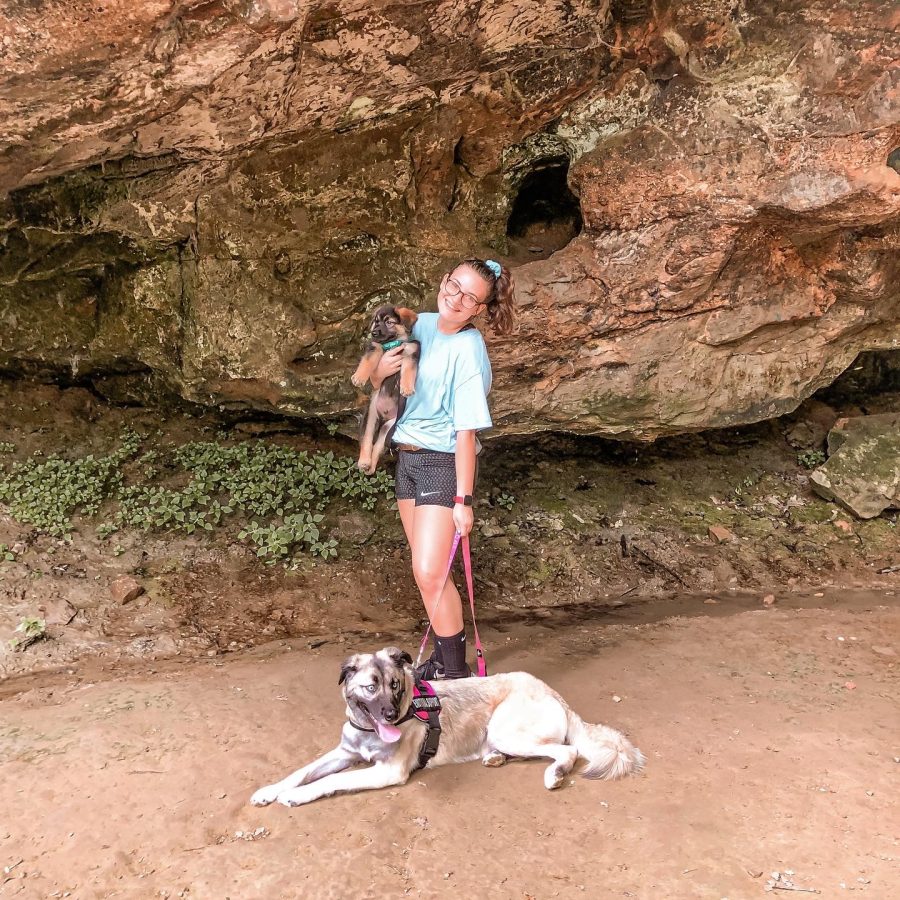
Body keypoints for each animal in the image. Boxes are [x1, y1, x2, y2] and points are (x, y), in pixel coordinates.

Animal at [251, 648, 648, 808]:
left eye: (396, 685)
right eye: (370, 687)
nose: (391, 714)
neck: (368, 731)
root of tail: (555, 693)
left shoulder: (388, 771)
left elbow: (330, 780)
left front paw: (298, 796)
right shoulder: (343, 753)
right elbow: (302, 770)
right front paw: (270, 790)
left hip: (505, 727)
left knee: (567, 749)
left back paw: (555, 774)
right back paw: (495, 759)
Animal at [352, 306, 422, 474]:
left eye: (389, 322)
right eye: (376, 321)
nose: (373, 333)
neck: (394, 343)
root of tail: (383, 417)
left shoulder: (411, 352)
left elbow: (408, 372)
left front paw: (407, 388)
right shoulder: (375, 347)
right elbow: (367, 362)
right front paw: (359, 377)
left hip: (389, 428)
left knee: (377, 446)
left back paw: (371, 466)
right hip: (370, 417)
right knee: (367, 440)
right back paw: (364, 462)